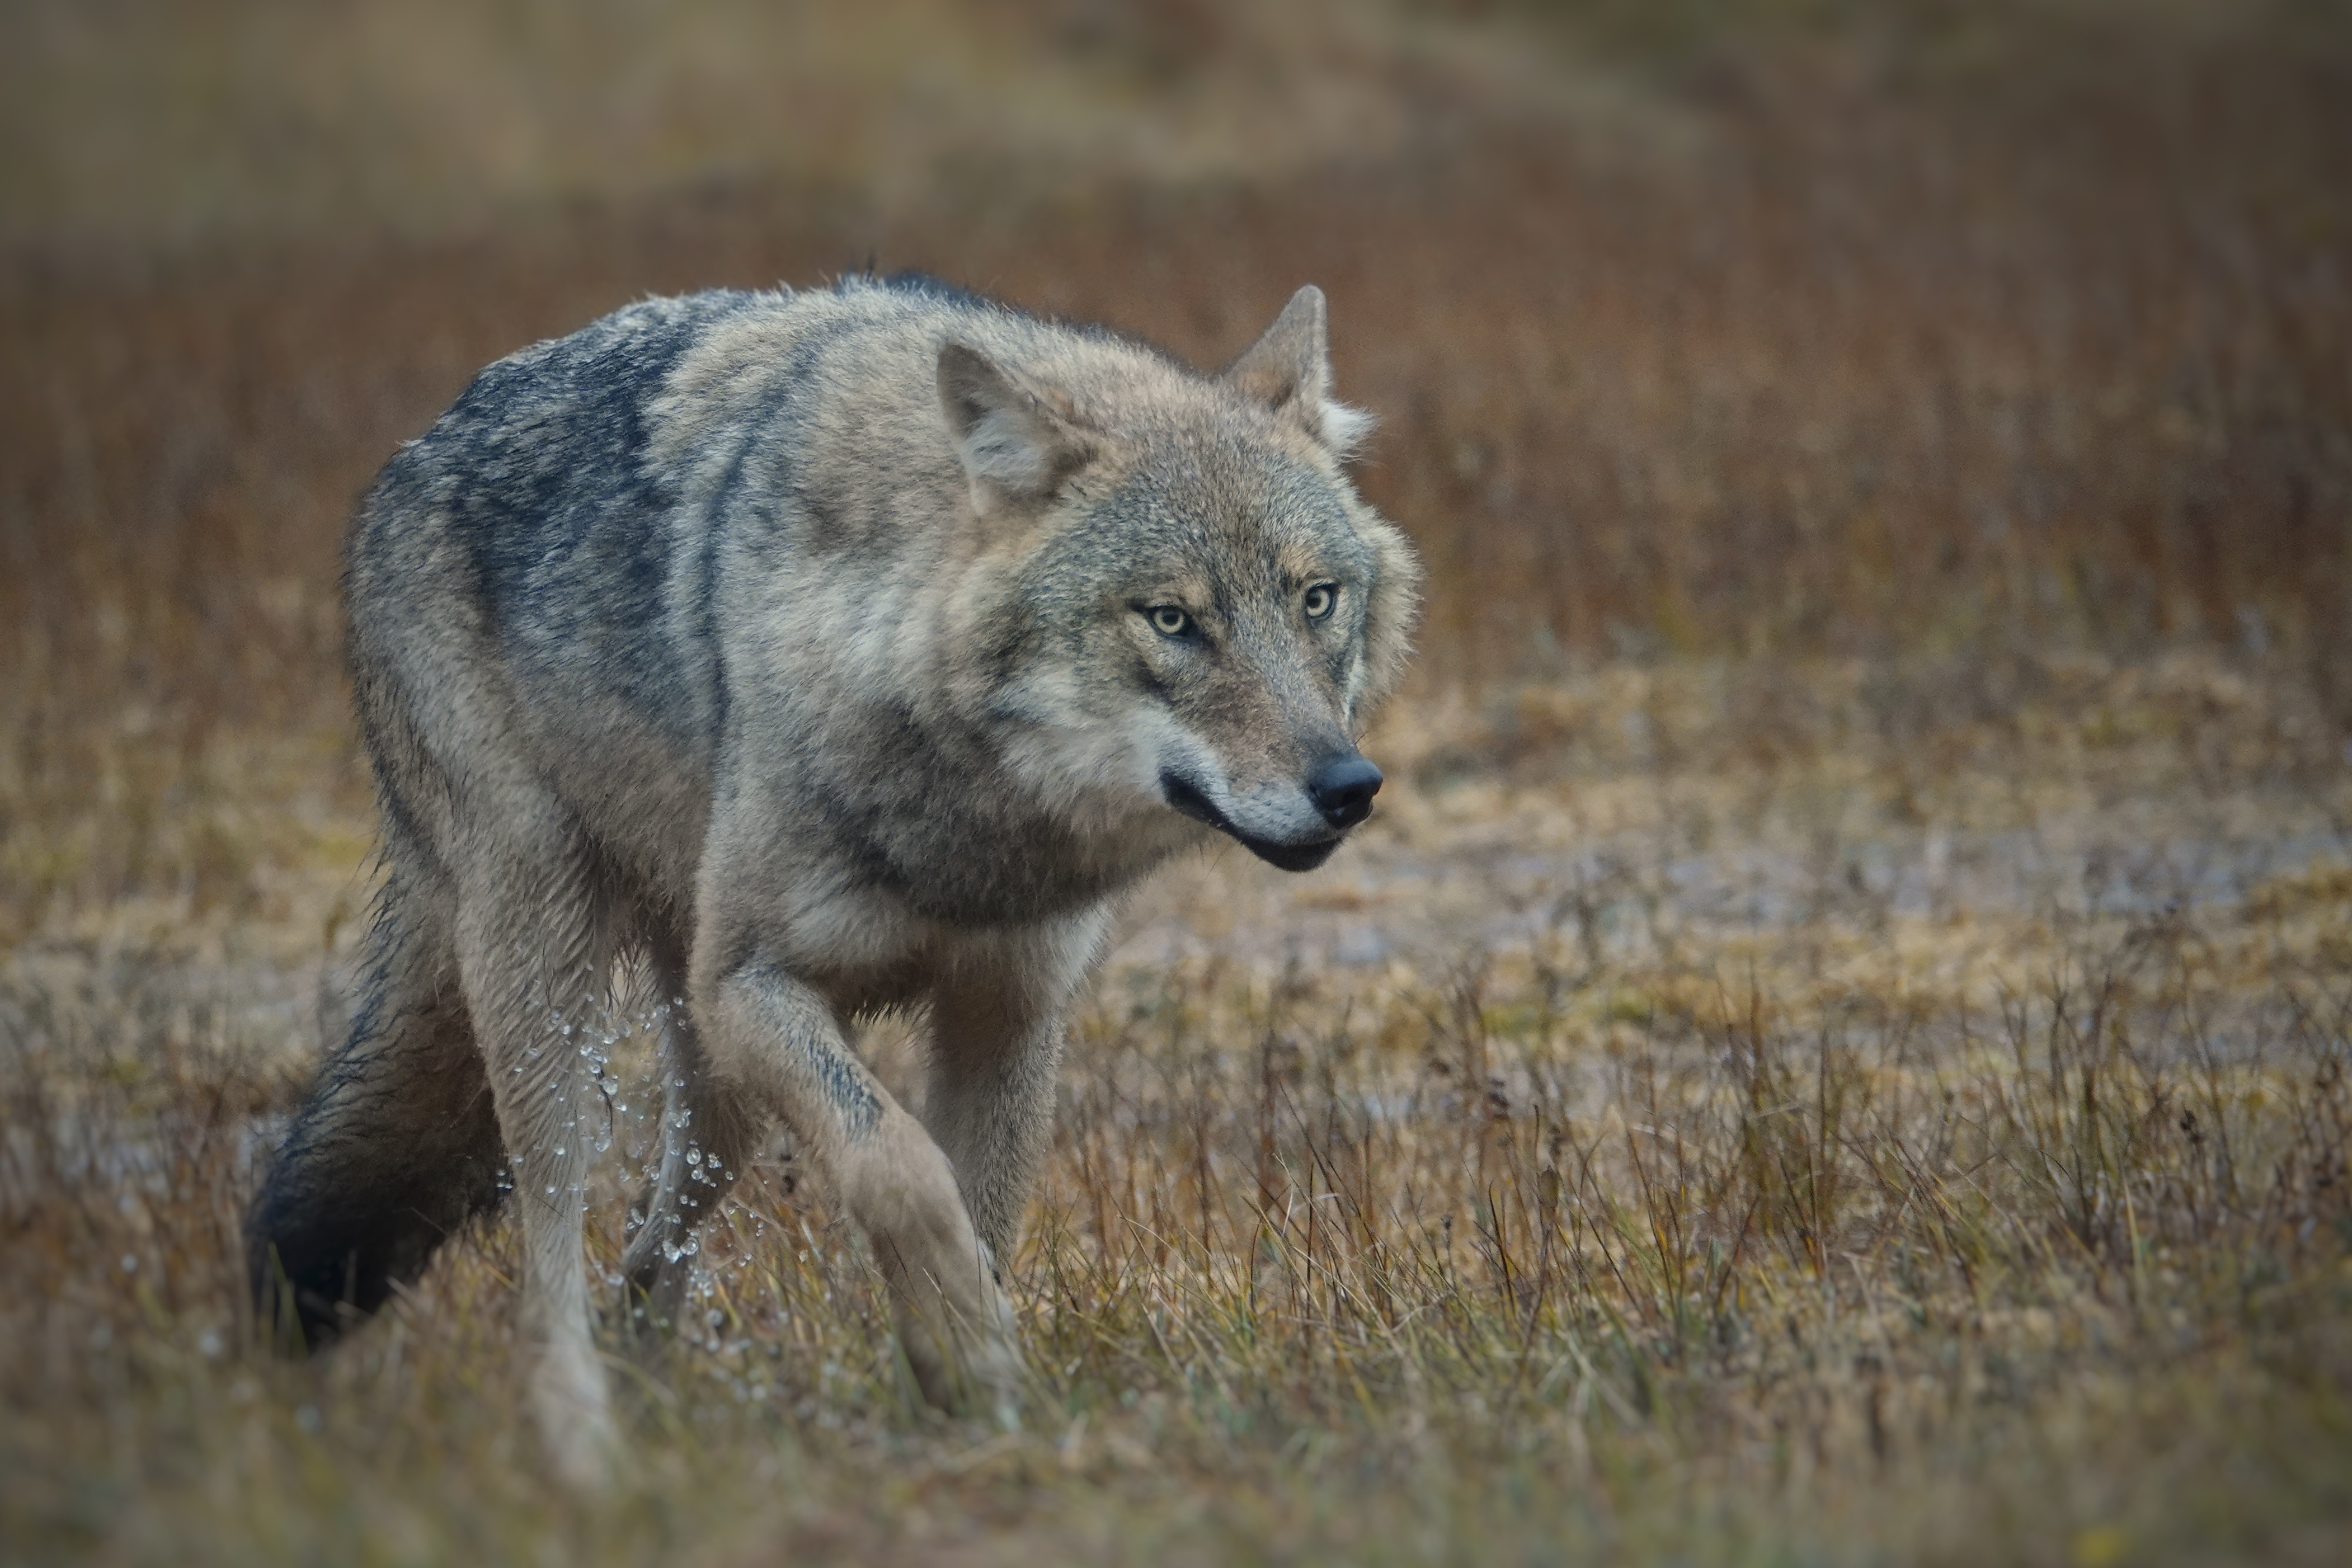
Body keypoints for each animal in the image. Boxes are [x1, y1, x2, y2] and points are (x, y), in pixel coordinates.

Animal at [247, 273, 1420, 1480]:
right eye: (1174, 619)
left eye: (1316, 599)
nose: (1347, 786)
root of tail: (416, 448)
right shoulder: (752, 988)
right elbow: (897, 1168)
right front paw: (971, 1354)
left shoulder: (1008, 1008)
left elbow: (977, 1208)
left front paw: (966, 1399)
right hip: (558, 997)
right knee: (552, 1247)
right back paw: (587, 1453)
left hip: (712, 1090)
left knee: (650, 1253)